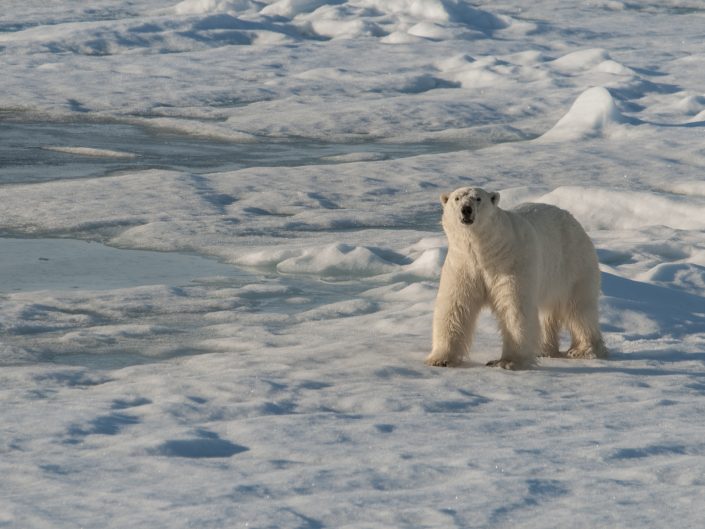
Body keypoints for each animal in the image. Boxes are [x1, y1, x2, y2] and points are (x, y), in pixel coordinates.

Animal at [426, 186, 607, 369]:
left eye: (478, 198)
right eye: (457, 198)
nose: (466, 209)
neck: (485, 251)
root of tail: (575, 221)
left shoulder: (511, 264)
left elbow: (514, 307)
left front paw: (509, 361)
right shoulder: (463, 265)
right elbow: (455, 306)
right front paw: (440, 359)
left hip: (573, 264)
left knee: (578, 308)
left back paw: (582, 349)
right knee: (547, 312)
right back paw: (544, 349)